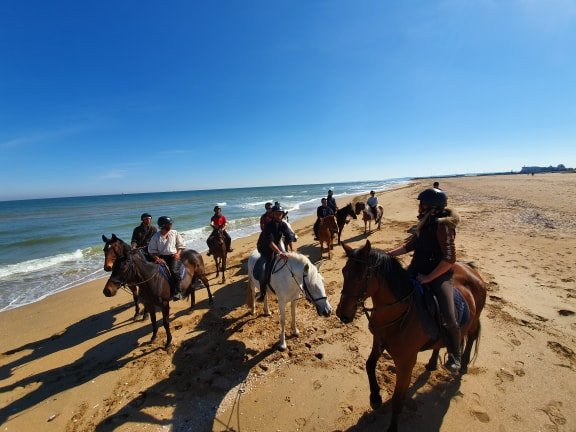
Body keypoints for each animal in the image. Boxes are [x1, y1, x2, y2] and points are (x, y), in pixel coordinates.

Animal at [336, 240, 488, 432]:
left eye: (361, 276)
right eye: (344, 272)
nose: (342, 314)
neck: (399, 313)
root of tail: (471, 269)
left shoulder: (406, 362)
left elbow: (398, 399)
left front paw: (392, 428)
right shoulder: (378, 342)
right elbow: (369, 365)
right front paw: (375, 398)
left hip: (473, 319)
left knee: (471, 336)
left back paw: (462, 365)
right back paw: (433, 363)